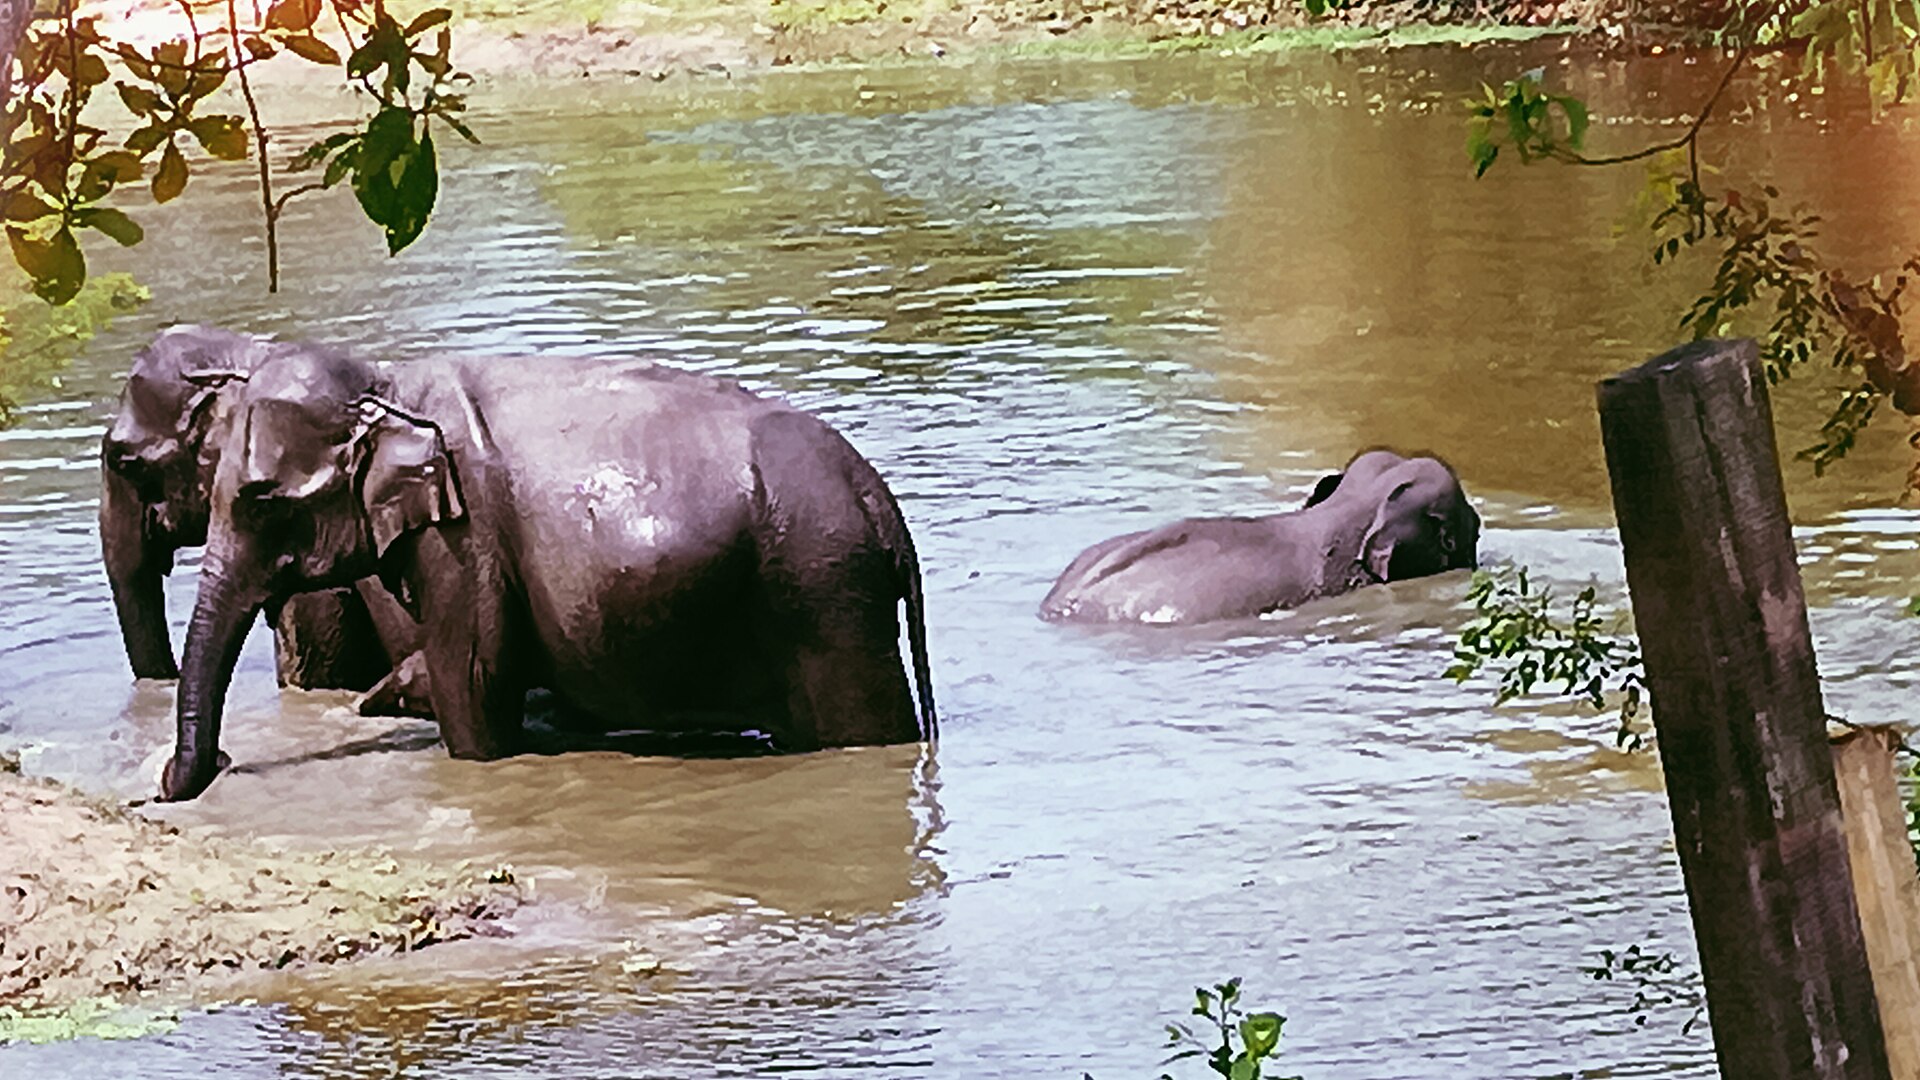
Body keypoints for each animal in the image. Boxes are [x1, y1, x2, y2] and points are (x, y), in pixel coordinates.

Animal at [157, 346, 937, 801]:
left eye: (263, 501)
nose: (209, 767)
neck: (387, 378)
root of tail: (880, 503)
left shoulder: (462, 541)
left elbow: (475, 689)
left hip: (826, 598)